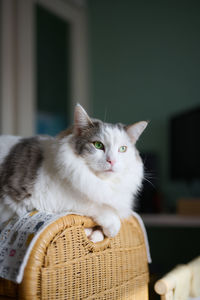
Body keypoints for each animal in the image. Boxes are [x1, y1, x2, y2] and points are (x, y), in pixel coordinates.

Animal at [0, 104, 147, 240]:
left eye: (122, 149)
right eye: (98, 145)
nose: (112, 161)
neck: (100, 182)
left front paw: (96, 235)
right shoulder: (51, 199)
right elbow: (97, 206)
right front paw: (111, 228)